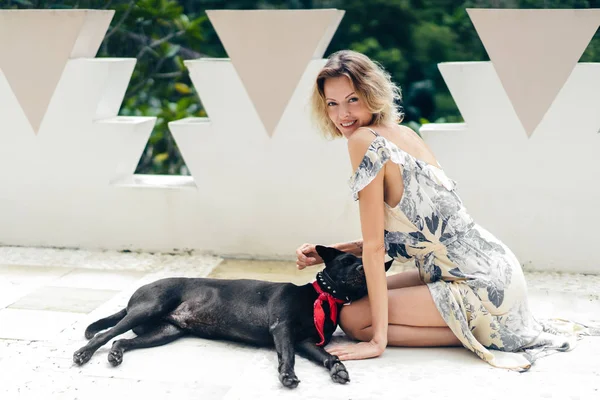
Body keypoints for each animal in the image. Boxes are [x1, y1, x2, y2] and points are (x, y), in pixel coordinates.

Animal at [74, 245, 394, 390]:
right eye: (346, 260)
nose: (363, 270)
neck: (323, 297)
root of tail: (137, 295)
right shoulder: (283, 329)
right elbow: (287, 357)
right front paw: (287, 376)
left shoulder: (306, 342)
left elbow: (327, 356)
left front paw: (337, 368)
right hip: (150, 307)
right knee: (105, 333)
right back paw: (83, 354)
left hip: (165, 332)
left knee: (122, 342)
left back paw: (116, 354)